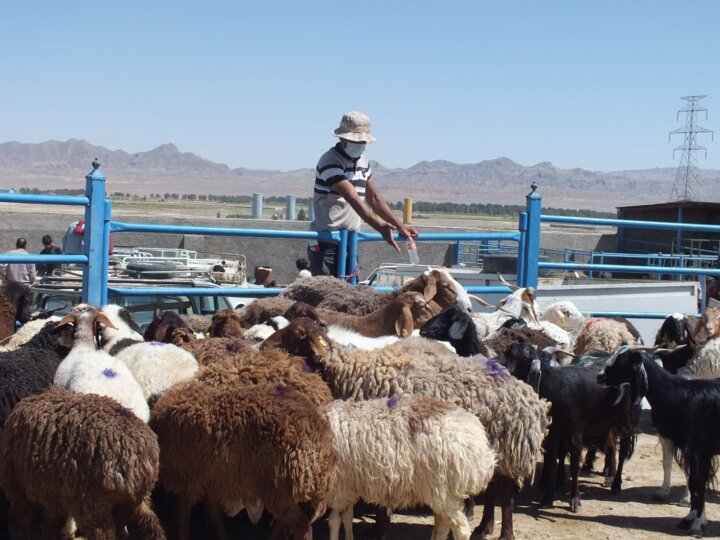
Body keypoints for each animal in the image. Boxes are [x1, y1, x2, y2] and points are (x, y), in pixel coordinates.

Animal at [152, 380, 338, 540]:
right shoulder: (213, 478)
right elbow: (211, 511)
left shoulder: (195, 478)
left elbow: (187, 512)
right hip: (285, 490)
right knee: (288, 523)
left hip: (280, 486)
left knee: (300, 525)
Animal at [324, 392, 498, 540]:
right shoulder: (347, 488)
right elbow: (346, 519)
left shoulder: (338, 488)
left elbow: (334, 521)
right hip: (441, 493)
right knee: (442, 526)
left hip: (444, 490)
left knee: (460, 528)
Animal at [600, 346, 720, 536]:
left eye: (622, 360)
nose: (599, 376)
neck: (681, 396)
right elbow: (694, 483)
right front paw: (690, 519)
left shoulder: (700, 450)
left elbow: (698, 484)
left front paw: (697, 524)